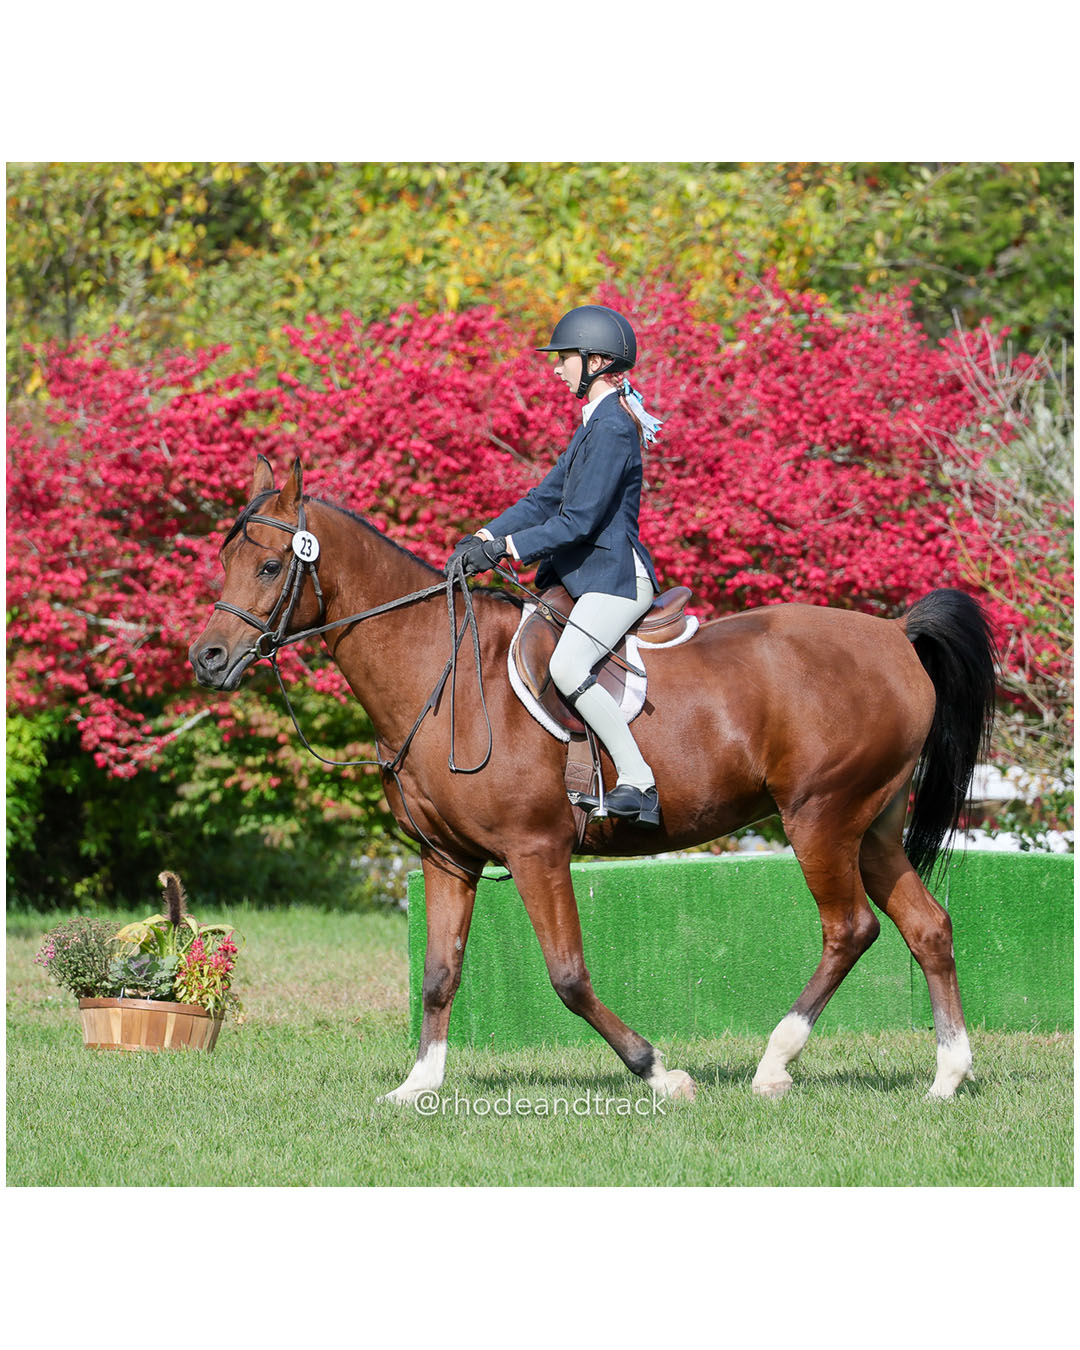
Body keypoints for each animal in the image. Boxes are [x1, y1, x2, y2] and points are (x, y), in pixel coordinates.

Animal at [189, 456, 997, 1104]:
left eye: (269, 568)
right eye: (223, 561)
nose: (207, 659)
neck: (442, 675)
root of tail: (893, 634)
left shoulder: (536, 851)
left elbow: (568, 976)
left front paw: (660, 1073)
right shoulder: (446, 858)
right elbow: (439, 974)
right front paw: (418, 1085)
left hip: (819, 819)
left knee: (850, 928)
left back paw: (774, 1066)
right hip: (871, 828)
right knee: (928, 927)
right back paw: (947, 1077)